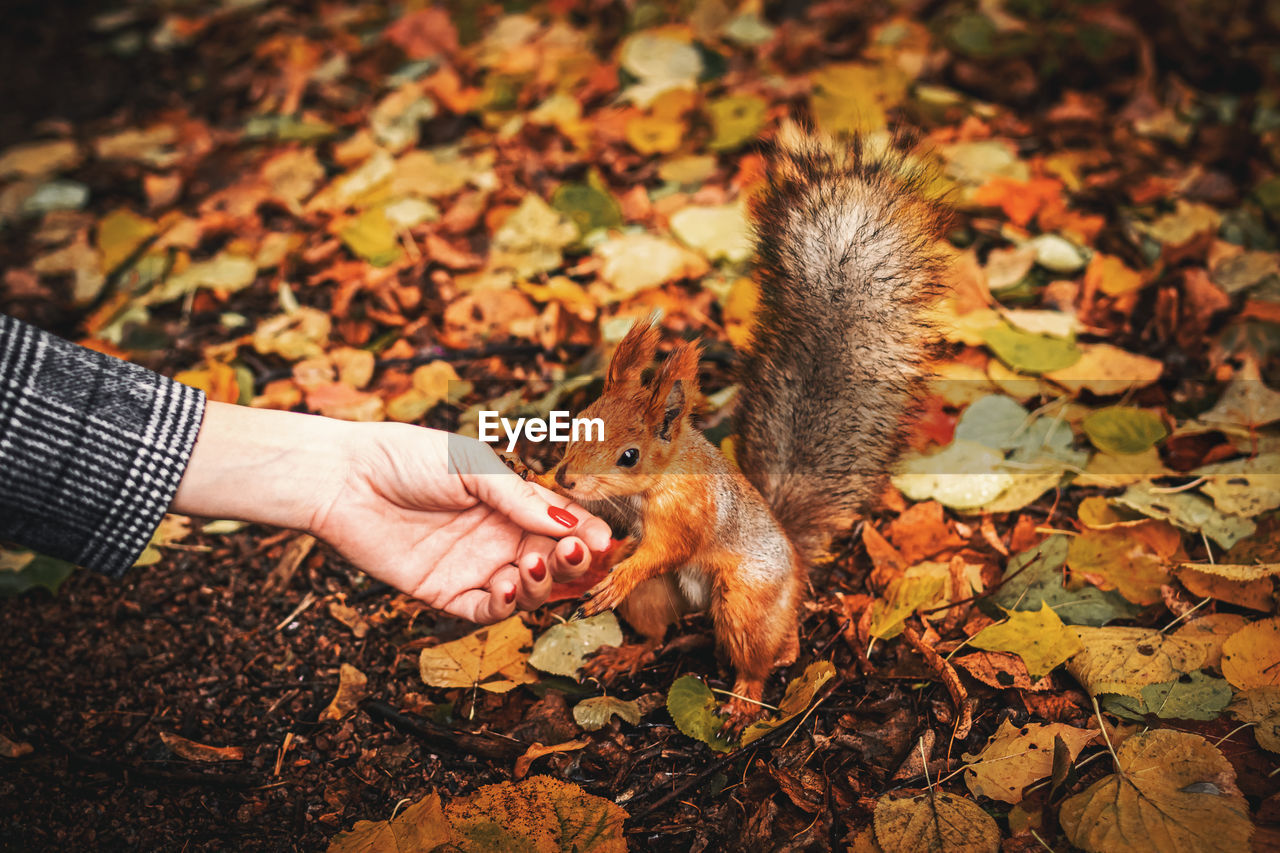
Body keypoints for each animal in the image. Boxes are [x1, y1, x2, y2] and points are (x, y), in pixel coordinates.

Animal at [519, 128, 952, 732]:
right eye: (577, 424)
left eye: (630, 456)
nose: (566, 477)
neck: (652, 487)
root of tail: (794, 560)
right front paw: (531, 476)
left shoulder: (689, 514)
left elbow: (664, 548)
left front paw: (618, 570)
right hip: (660, 599)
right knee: (659, 631)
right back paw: (629, 654)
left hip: (745, 601)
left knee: (759, 653)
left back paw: (746, 696)